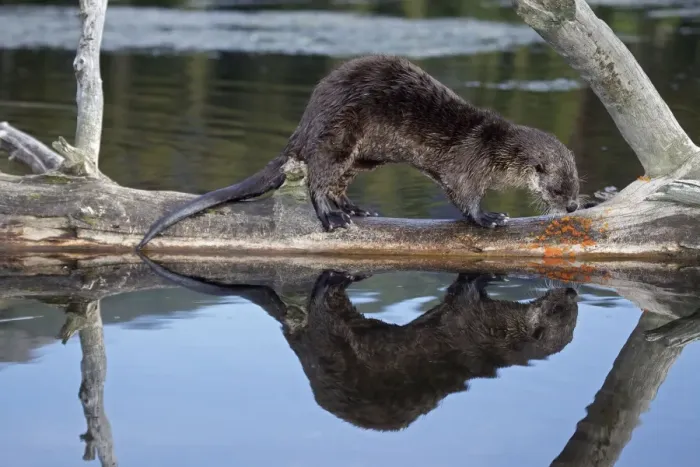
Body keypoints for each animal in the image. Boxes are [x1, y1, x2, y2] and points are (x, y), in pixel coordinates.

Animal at [136, 55, 581, 249]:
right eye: (560, 188)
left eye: (578, 184)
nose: (575, 206)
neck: (493, 147)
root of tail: (307, 120)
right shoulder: (468, 165)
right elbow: (463, 197)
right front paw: (489, 218)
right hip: (339, 135)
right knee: (318, 179)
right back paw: (332, 218)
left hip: (360, 155)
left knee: (336, 181)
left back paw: (355, 209)